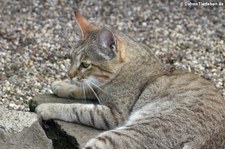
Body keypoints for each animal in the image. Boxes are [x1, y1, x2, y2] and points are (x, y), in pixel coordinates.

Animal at [35, 11, 225, 148]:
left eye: (85, 65)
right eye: (71, 58)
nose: (69, 74)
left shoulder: (113, 115)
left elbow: (78, 109)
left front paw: (48, 107)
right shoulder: (101, 90)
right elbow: (88, 88)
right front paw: (63, 86)